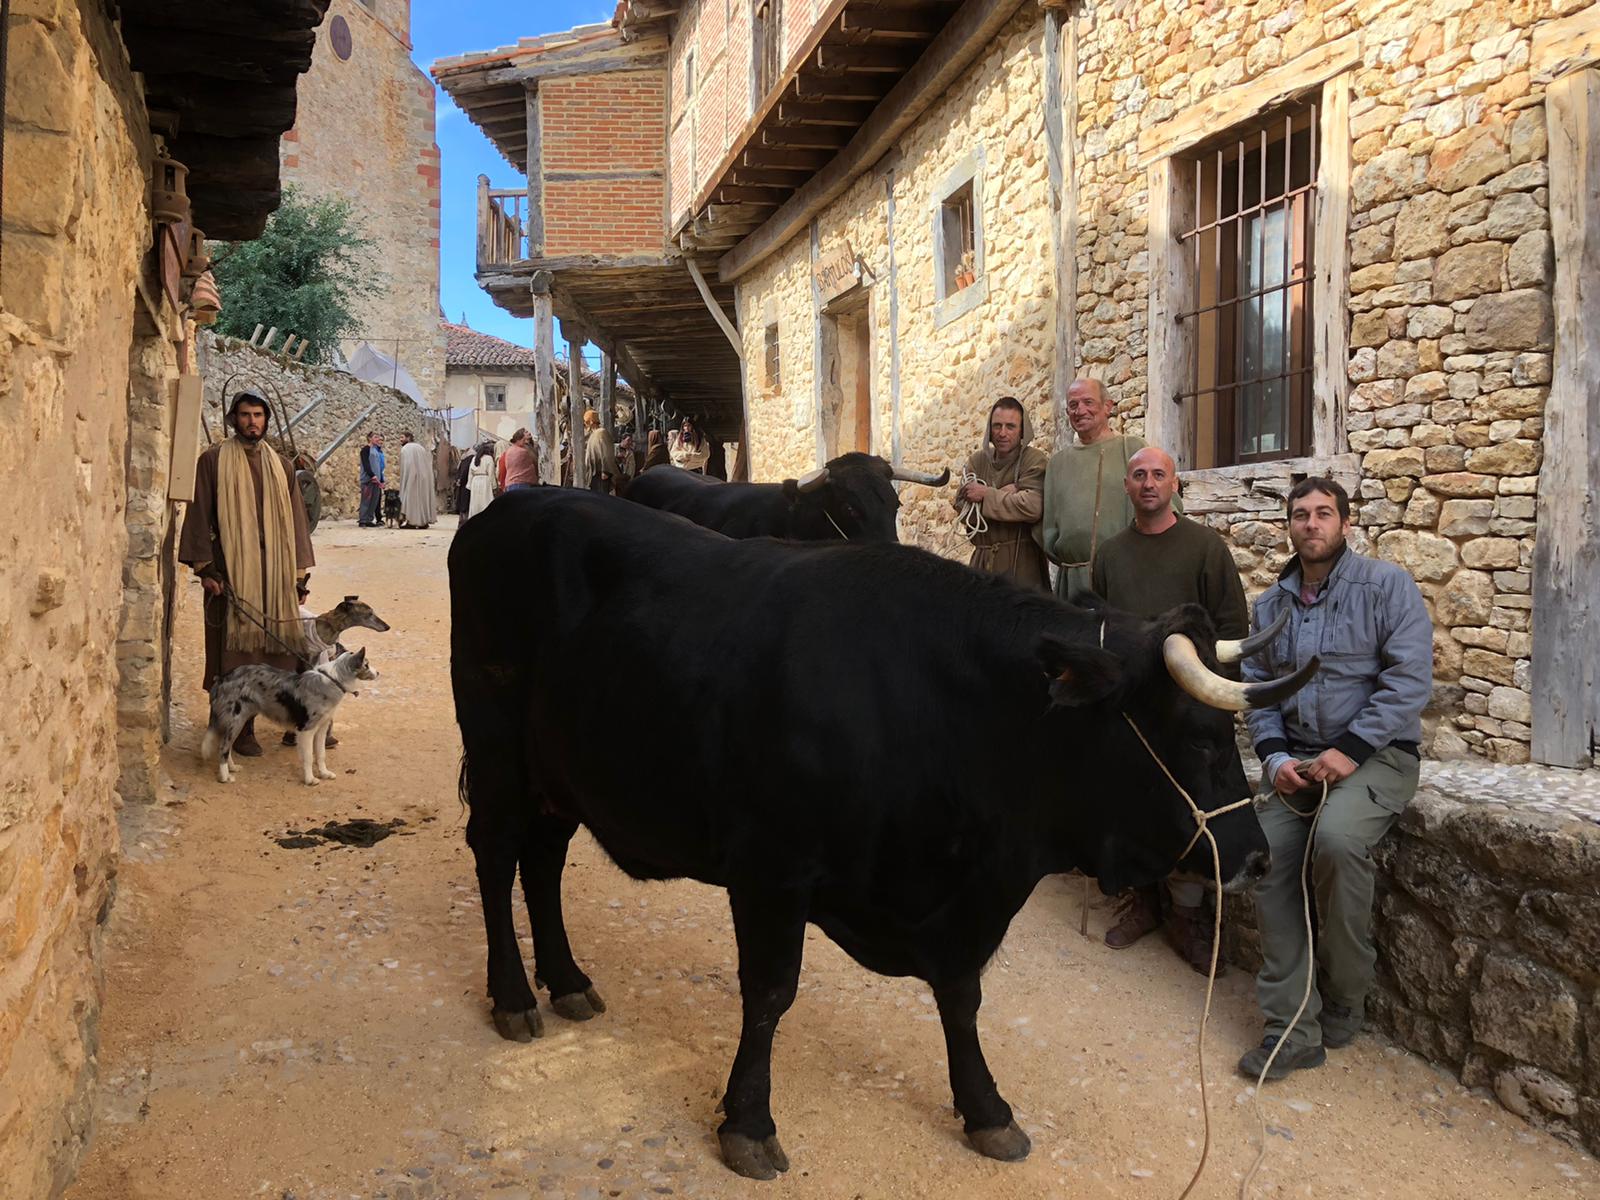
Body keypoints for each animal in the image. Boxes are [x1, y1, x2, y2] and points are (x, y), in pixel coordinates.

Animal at [196, 649, 374, 790]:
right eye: (367, 664)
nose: (378, 673)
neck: (332, 680)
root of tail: (221, 678)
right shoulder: (306, 730)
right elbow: (309, 757)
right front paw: (310, 780)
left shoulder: (321, 729)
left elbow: (321, 754)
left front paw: (324, 773)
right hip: (235, 720)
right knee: (223, 747)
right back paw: (225, 777)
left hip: (239, 720)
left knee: (227, 746)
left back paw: (232, 768)